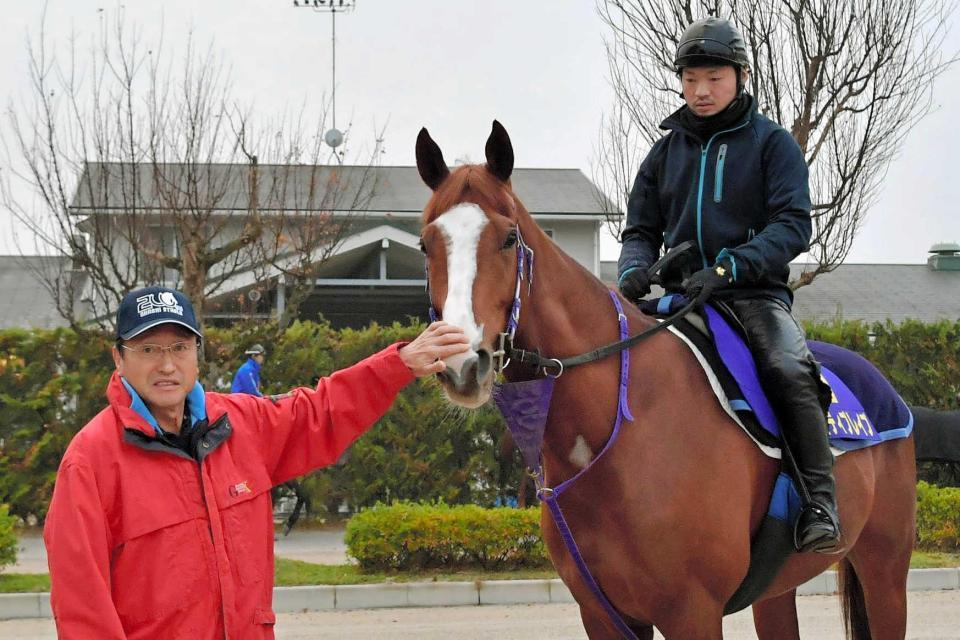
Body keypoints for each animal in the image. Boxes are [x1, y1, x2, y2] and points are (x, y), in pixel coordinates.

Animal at [416, 121, 920, 640]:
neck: (620, 430)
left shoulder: (691, 613)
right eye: (425, 244)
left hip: (885, 572)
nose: (461, 363)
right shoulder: (605, 615)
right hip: (777, 592)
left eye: (508, 239)